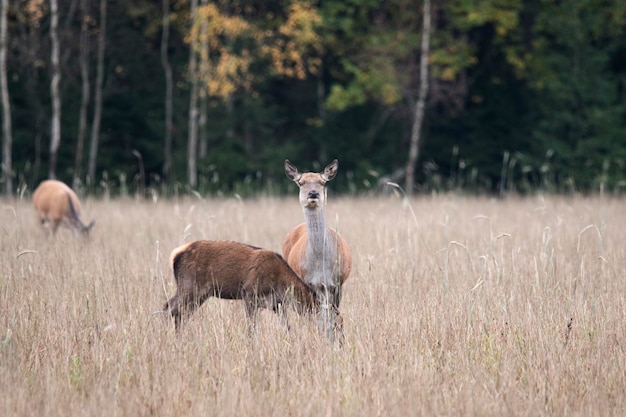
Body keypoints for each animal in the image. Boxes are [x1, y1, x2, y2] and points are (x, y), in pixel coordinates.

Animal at [161, 237, 322, 332]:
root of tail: (175, 255)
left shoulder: (276, 304)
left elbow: (287, 327)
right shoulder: (249, 293)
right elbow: (251, 328)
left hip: (200, 294)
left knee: (178, 312)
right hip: (189, 286)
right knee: (170, 308)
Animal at [282, 159, 352, 342]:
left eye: (322, 182)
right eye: (300, 182)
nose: (313, 193)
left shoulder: (337, 282)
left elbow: (335, 318)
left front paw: (338, 341)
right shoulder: (308, 283)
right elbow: (317, 318)